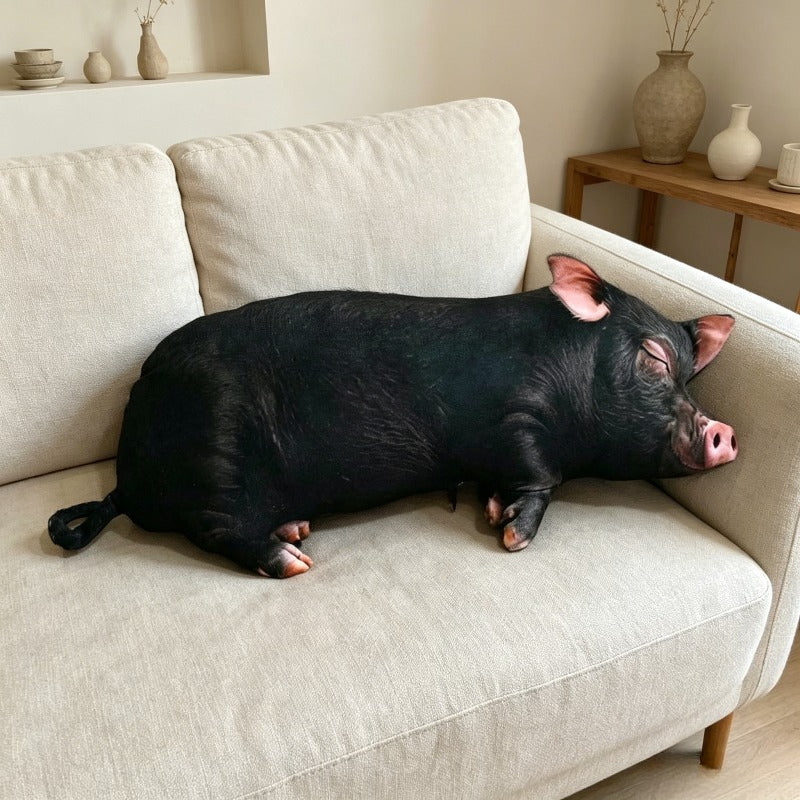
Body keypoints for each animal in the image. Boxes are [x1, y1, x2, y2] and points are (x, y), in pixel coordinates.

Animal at [48, 255, 738, 577]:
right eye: (653, 359)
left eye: (689, 374)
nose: (725, 431)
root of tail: (125, 479)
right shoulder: (509, 419)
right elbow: (542, 473)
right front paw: (512, 535)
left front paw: (494, 510)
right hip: (214, 451)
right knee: (214, 526)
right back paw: (295, 558)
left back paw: (297, 529)